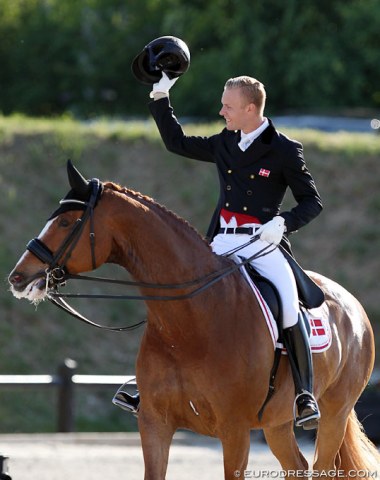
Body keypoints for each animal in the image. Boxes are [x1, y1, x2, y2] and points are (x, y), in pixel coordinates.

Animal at [7, 163, 378, 478]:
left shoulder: (234, 430)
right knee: (297, 467)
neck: (189, 324)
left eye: (66, 223)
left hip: (333, 414)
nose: (17, 277)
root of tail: (353, 305)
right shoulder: (154, 423)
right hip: (276, 422)